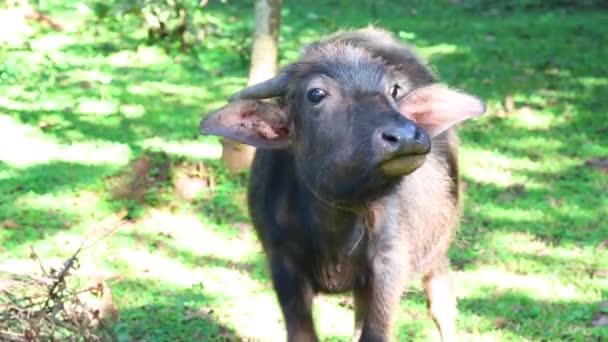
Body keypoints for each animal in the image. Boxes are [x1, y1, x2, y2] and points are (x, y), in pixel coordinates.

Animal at [200, 27, 484, 342]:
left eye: (394, 90)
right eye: (316, 94)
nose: (406, 136)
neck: (335, 225)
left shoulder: (390, 262)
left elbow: (375, 333)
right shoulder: (282, 264)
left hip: (438, 250)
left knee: (441, 304)